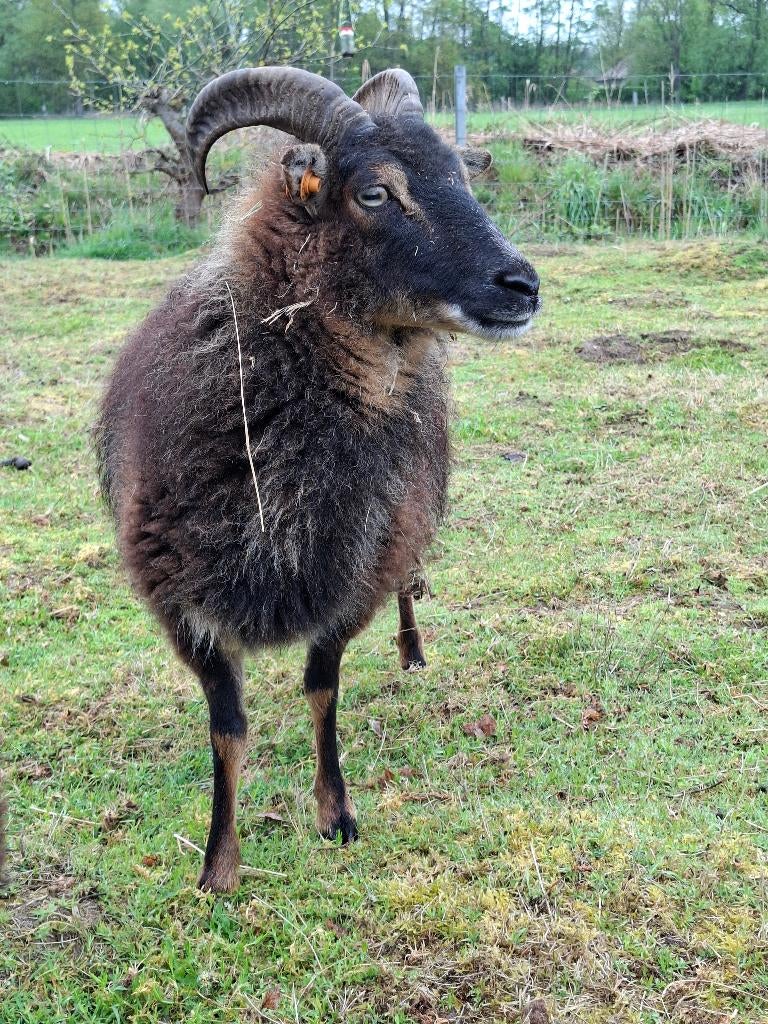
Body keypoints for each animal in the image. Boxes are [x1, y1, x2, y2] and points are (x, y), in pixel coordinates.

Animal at [95, 66, 540, 893]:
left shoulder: (354, 571)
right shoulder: (179, 601)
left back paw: (413, 651)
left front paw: (335, 815)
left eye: (463, 177)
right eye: (374, 193)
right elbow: (228, 728)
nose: (523, 285)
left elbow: (321, 690)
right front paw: (219, 865)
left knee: (408, 584)